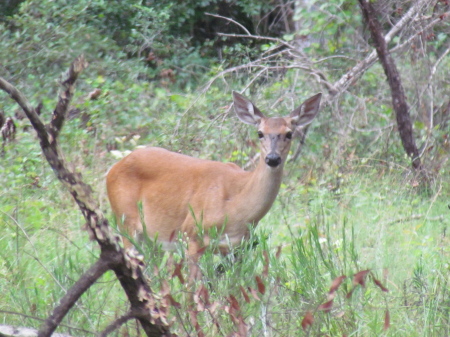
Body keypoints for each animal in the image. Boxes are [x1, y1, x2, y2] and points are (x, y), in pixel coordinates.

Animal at [107, 91, 322, 266]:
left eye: (289, 133)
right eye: (260, 133)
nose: (273, 158)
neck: (236, 207)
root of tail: (114, 168)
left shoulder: (238, 248)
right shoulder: (191, 235)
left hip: (152, 239)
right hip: (126, 222)